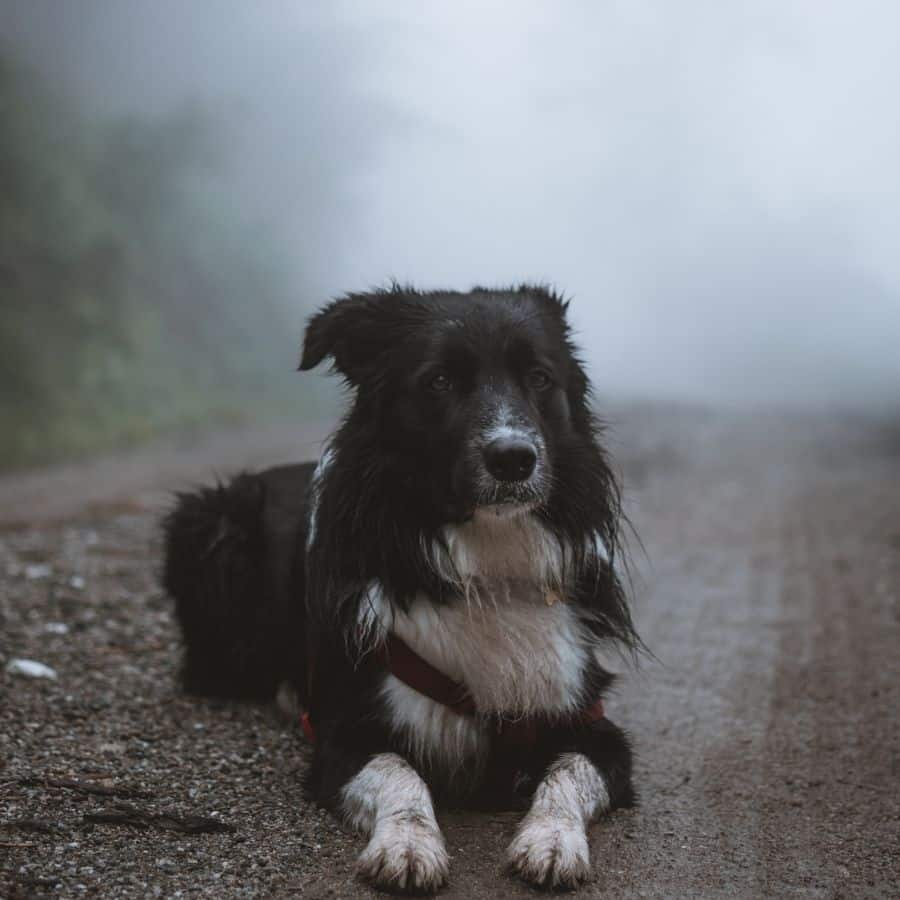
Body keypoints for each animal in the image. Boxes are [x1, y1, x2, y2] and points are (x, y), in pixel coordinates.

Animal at [162, 284, 640, 888]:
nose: (514, 458)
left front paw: (552, 841)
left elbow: (568, 773)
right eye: (438, 381)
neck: (485, 558)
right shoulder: (346, 731)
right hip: (213, 524)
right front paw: (408, 845)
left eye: (539, 378)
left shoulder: (590, 720)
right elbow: (398, 771)